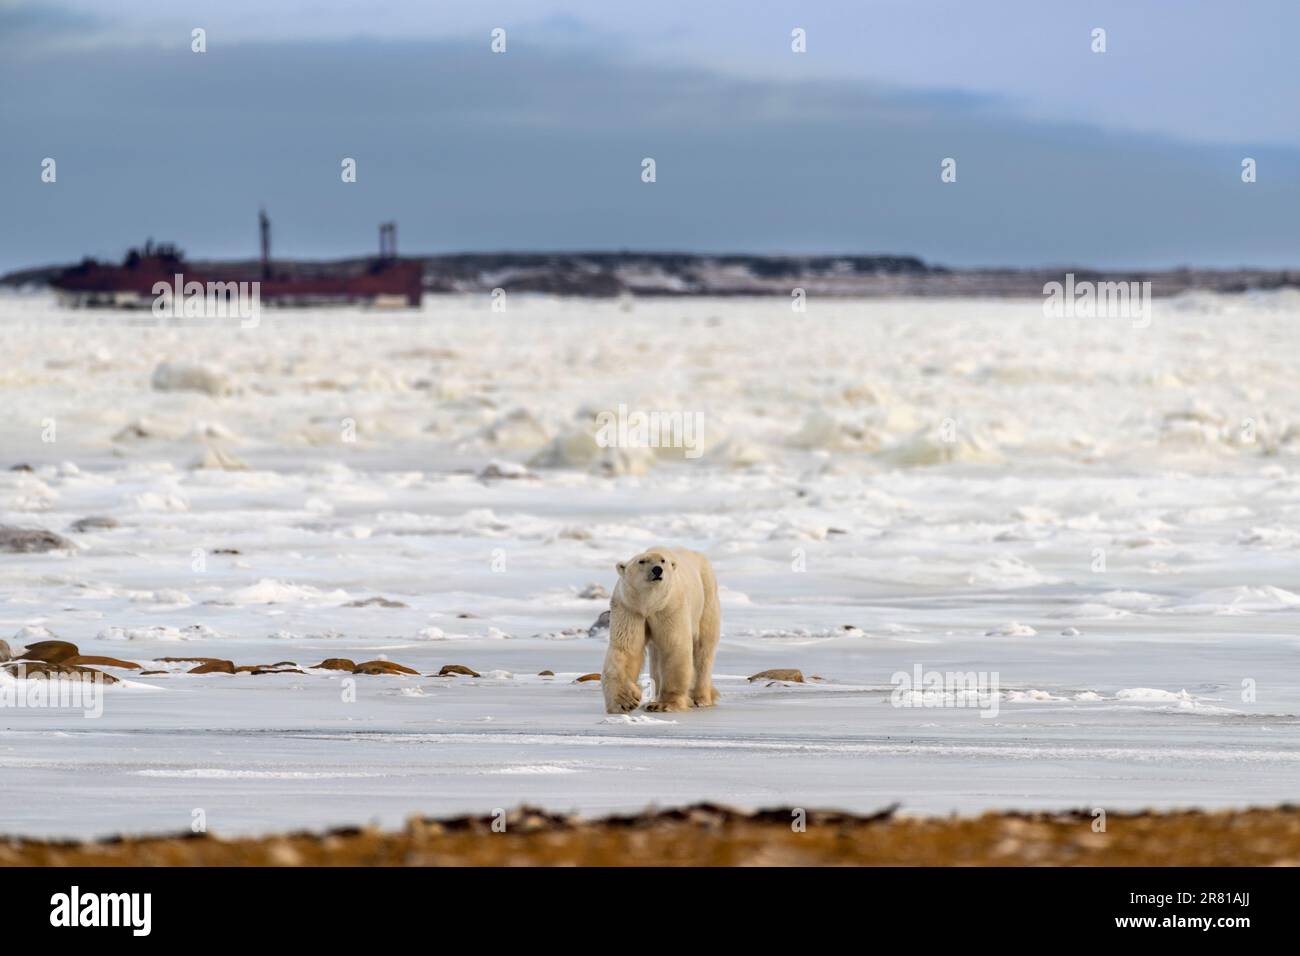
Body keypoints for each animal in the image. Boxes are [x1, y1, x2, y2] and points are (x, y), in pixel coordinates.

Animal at [600, 546, 722, 712]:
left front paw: (664, 704)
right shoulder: (630, 608)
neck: (650, 604)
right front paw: (625, 701)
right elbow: (626, 648)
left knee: (703, 649)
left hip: (707, 598)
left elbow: (674, 646)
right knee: (656, 656)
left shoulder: (669, 608)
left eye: (663, 561)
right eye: (641, 561)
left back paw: (700, 698)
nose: (657, 570)